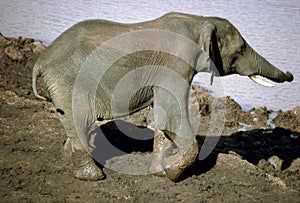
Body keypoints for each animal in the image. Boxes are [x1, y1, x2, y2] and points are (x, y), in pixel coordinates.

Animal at [32, 12, 292, 181]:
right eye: (239, 50)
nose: (291, 75)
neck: (199, 21)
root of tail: (39, 62)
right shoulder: (176, 64)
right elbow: (173, 116)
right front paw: (171, 173)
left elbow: (164, 117)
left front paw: (158, 172)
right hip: (67, 79)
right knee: (80, 119)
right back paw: (92, 176)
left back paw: (68, 160)